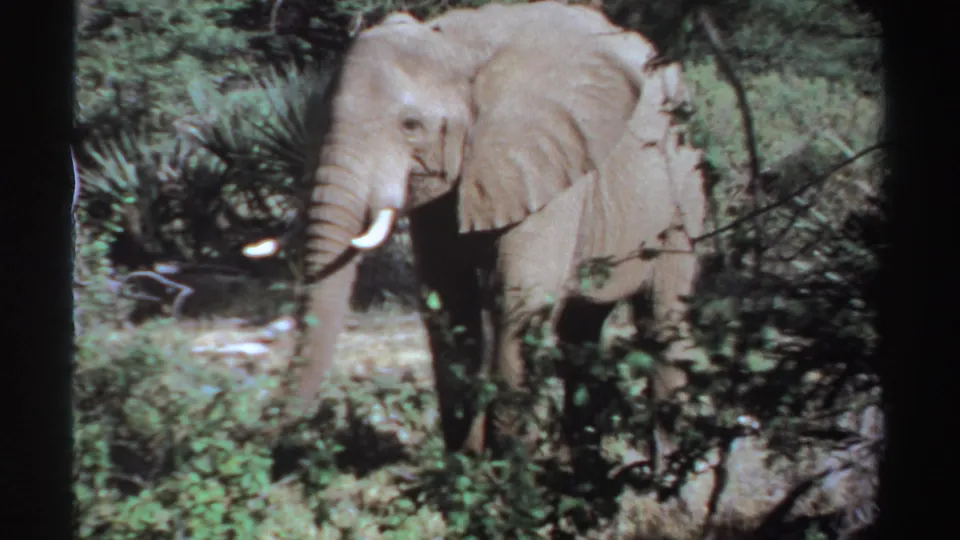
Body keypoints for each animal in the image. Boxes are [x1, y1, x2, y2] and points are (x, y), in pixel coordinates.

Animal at [243, 2, 706, 472]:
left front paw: (509, 472)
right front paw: (463, 466)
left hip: (684, 181)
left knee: (662, 317)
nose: (264, 442)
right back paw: (588, 475)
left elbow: (520, 295)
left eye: (411, 125)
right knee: (582, 329)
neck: (456, 48)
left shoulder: (547, 161)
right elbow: (449, 297)